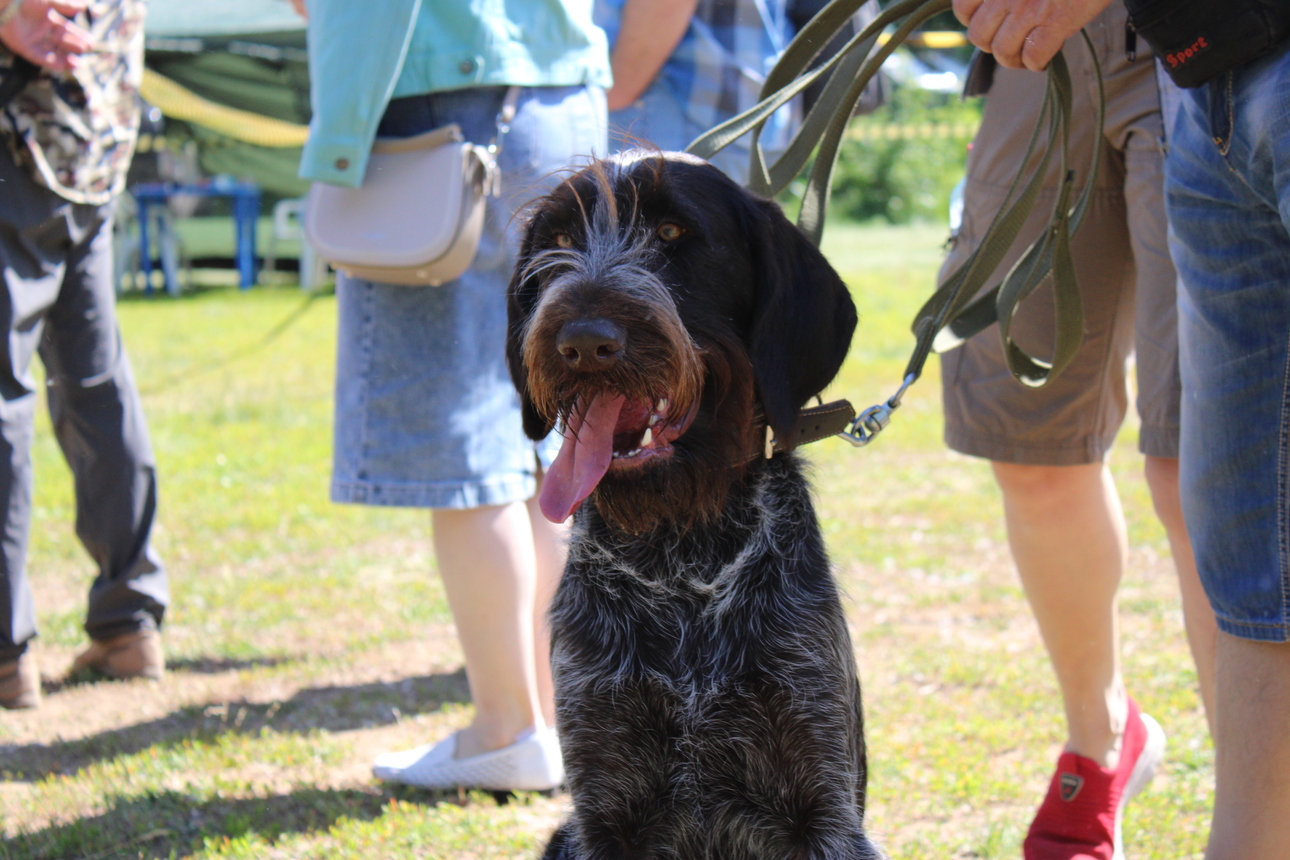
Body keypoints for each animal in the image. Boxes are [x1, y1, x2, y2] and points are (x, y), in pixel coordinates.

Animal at [503, 151, 877, 856]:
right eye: (559, 239)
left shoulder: (822, 807)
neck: (681, 568)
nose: (583, 342)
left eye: (673, 233)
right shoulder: (602, 806)